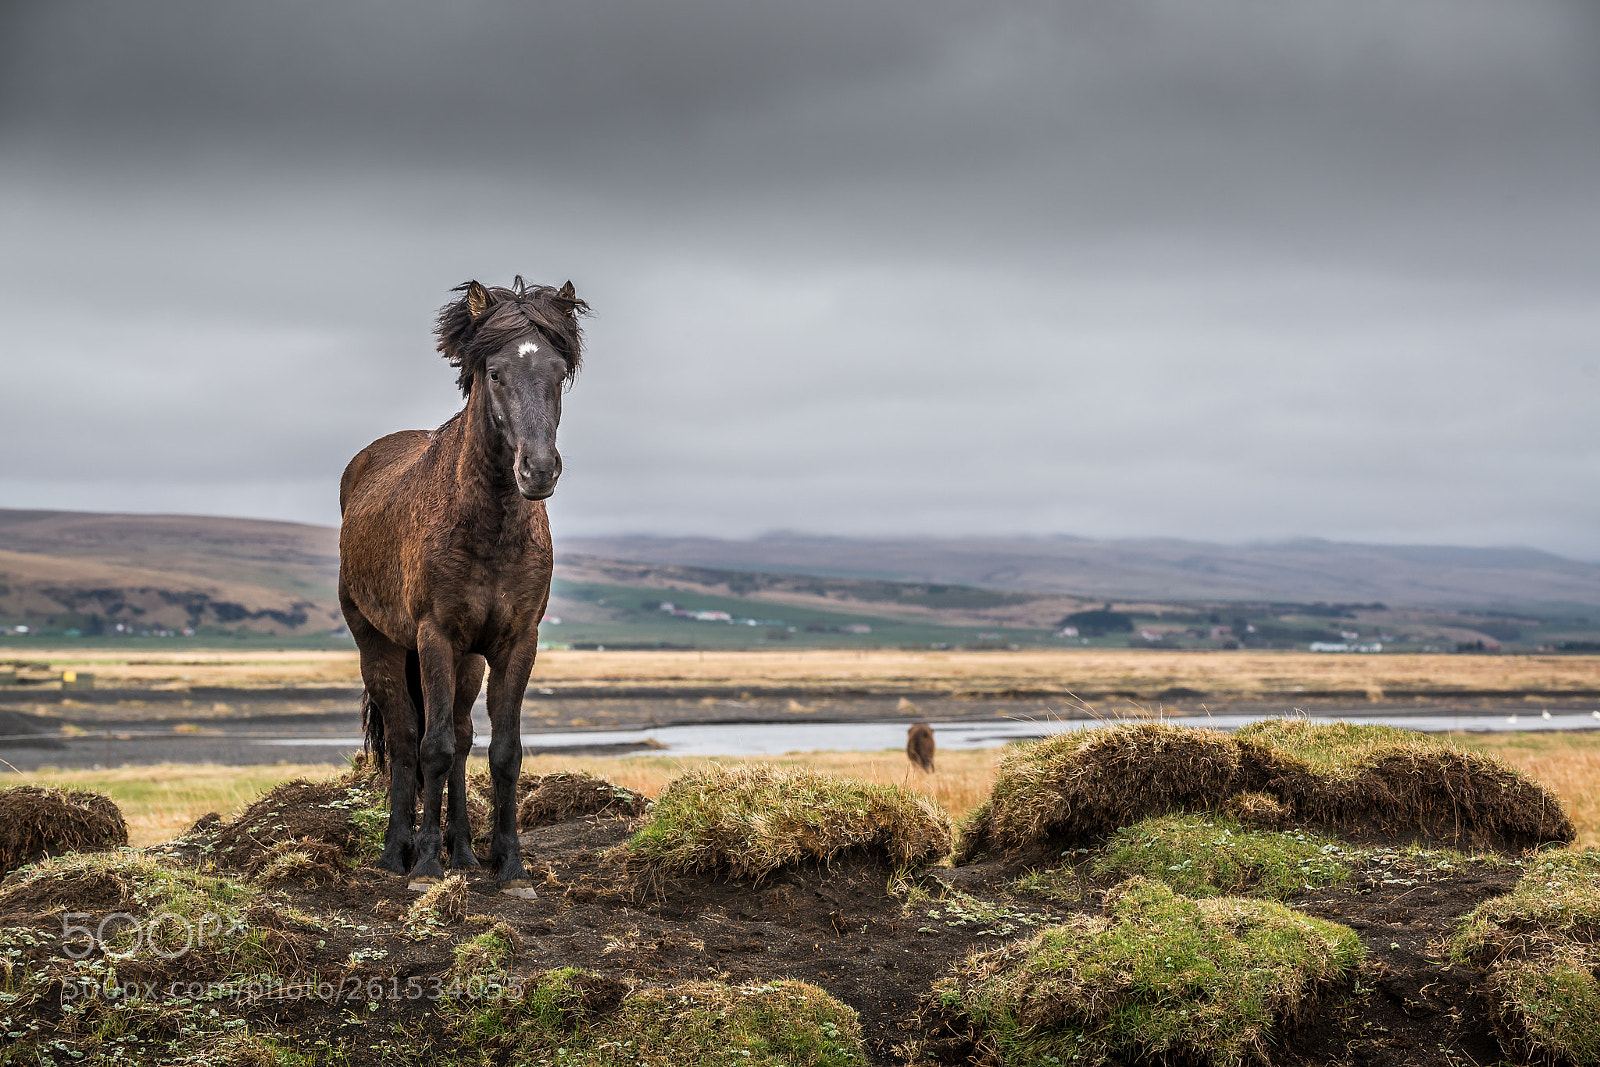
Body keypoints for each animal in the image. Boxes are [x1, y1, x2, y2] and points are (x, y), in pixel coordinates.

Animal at [338, 276, 588, 895]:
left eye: (557, 373)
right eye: (494, 373)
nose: (538, 470)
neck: (489, 524)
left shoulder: (516, 642)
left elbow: (503, 751)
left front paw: (510, 865)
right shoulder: (435, 637)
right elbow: (432, 747)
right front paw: (426, 866)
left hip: (469, 661)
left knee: (463, 734)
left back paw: (465, 852)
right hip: (381, 645)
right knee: (408, 737)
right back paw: (398, 852)